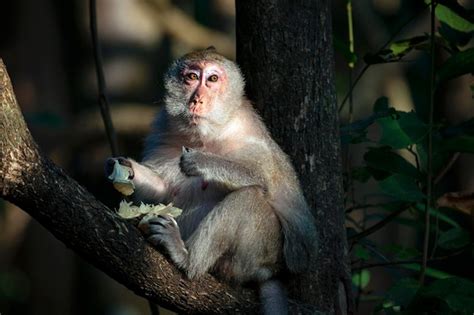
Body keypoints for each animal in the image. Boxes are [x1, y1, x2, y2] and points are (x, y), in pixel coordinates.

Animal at [105, 48, 316, 314]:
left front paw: (202, 161)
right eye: (192, 77)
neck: (206, 136)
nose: (197, 100)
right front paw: (125, 169)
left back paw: (187, 260)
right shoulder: (162, 130)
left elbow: (263, 182)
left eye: (213, 79)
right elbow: (163, 189)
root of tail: (270, 272)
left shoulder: (248, 135)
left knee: (248, 197)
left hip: (260, 251)